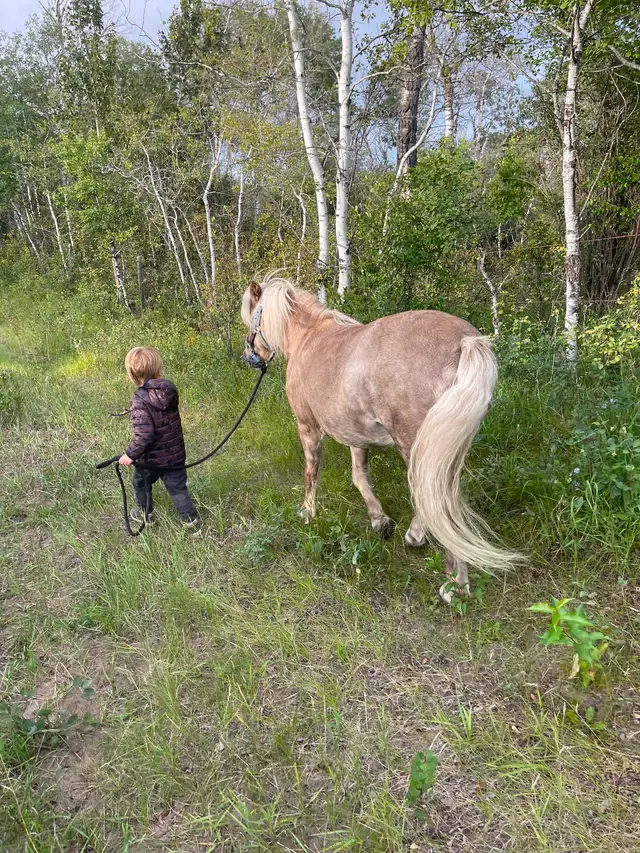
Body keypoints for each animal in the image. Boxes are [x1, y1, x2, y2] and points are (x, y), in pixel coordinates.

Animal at [241, 276, 521, 598]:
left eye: (251, 318)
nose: (248, 357)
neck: (308, 338)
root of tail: (464, 341)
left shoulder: (307, 428)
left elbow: (311, 473)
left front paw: (308, 512)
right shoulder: (355, 434)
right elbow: (359, 476)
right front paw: (379, 520)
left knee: (435, 496)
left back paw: (454, 582)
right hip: (447, 446)